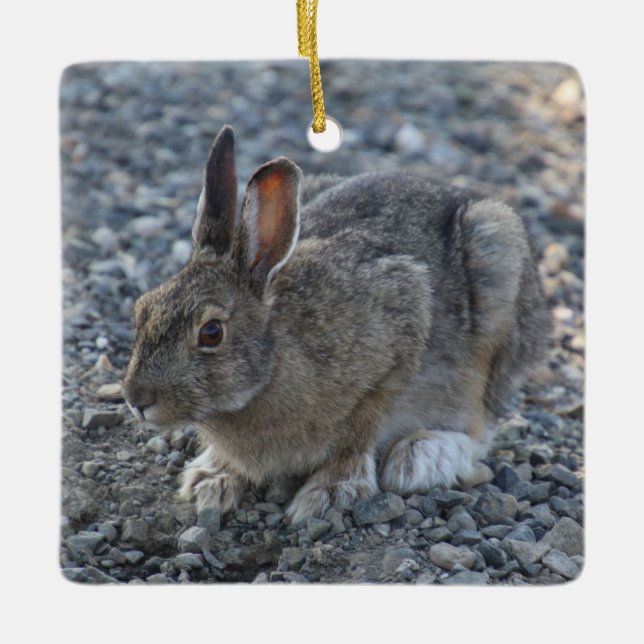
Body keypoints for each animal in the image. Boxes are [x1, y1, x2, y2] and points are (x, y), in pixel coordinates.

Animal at [123, 124, 550, 525]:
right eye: (142, 309)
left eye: (211, 333)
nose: (136, 399)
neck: (273, 362)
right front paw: (212, 479)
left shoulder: (401, 328)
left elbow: (361, 429)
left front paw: (329, 492)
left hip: (496, 274)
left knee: (478, 424)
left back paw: (420, 457)